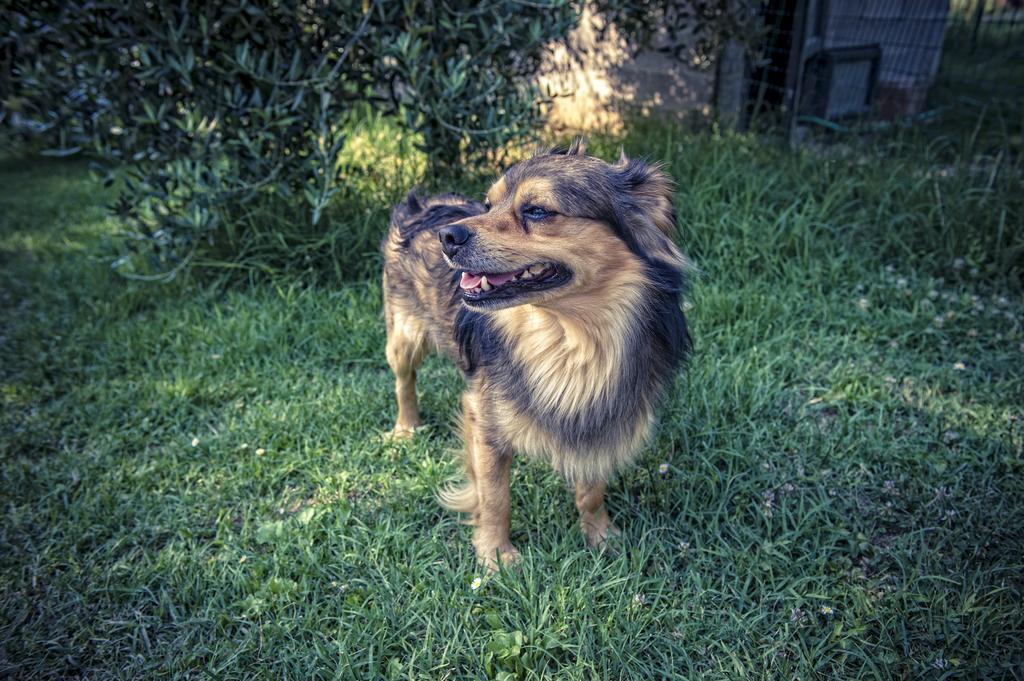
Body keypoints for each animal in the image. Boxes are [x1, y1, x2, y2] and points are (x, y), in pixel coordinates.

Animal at [380, 138, 692, 569]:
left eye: (537, 211)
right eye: (488, 204)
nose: (447, 236)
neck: (570, 339)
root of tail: (424, 203)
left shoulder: (600, 416)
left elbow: (592, 489)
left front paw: (599, 536)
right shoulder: (484, 418)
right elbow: (495, 496)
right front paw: (495, 555)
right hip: (405, 335)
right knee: (404, 380)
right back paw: (407, 428)